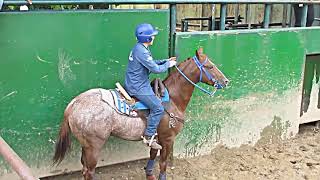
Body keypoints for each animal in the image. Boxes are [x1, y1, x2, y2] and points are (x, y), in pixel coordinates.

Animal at [52, 47, 228, 180]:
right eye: (210, 66)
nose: (226, 81)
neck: (172, 99)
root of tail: (74, 104)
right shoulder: (168, 139)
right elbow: (163, 164)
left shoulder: (156, 139)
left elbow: (152, 156)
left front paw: (149, 175)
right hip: (94, 146)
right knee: (88, 171)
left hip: (86, 145)